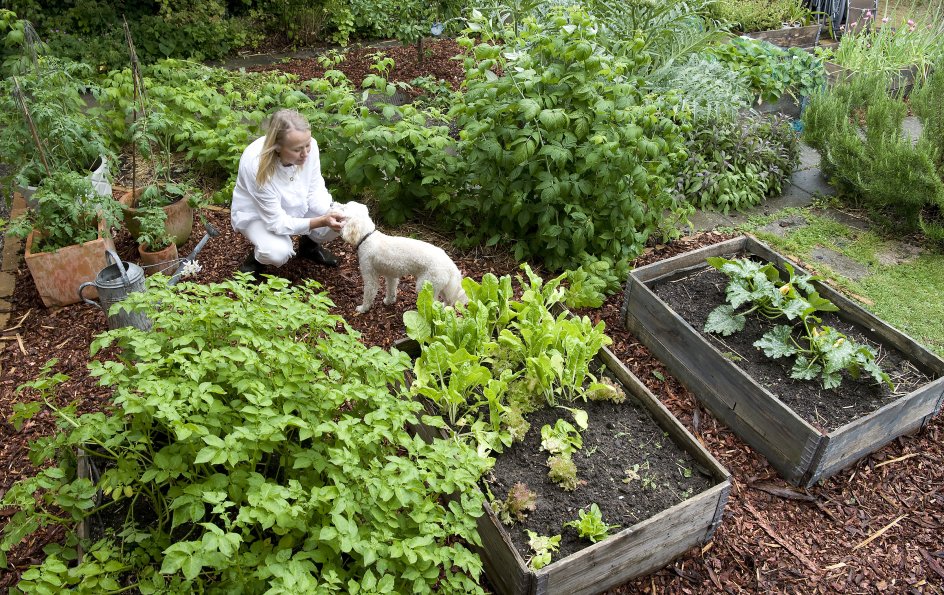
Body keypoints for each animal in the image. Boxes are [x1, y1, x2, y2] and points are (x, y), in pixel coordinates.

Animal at [342, 205, 470, 314]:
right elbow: (391, 290)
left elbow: (369, 294)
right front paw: (389, 301)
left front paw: (363, 308)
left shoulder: (370, 276)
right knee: (448, 301)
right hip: (442, 286)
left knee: (433, 304)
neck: (367, 237)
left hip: (426, 286)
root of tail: (450, 266)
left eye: (345, 207)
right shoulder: (391, 276)